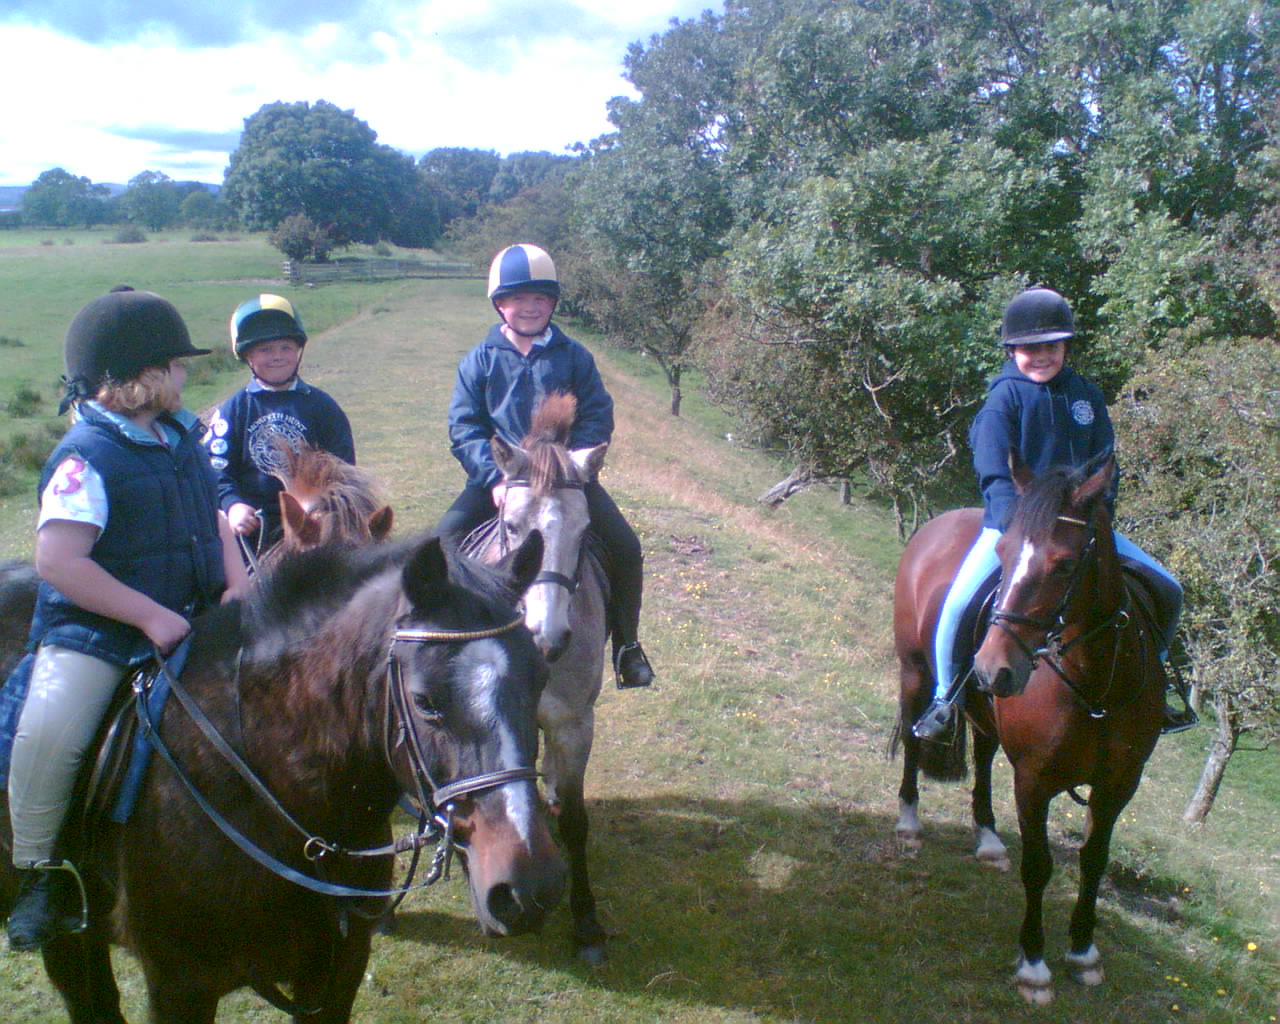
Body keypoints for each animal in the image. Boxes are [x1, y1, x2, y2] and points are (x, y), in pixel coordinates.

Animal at [461, 392, 612, 965]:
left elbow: (575, 821)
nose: (547, 638)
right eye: (509, 526)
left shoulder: (573, 725)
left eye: (584, 531)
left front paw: (587, 923)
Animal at [891, 453, 1165, 1004]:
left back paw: (987, 837)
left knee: (983, 754)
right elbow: (1038, 866)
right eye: (1003, 553)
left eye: (1064, 564)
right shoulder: (1034, 781)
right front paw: (1034, 964)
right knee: (912, 737)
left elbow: (1094, 860)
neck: (1095, 684)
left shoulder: (1118, 785)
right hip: (914, 673)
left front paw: (1082, 950)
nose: (991, 666)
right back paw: (909, 820)